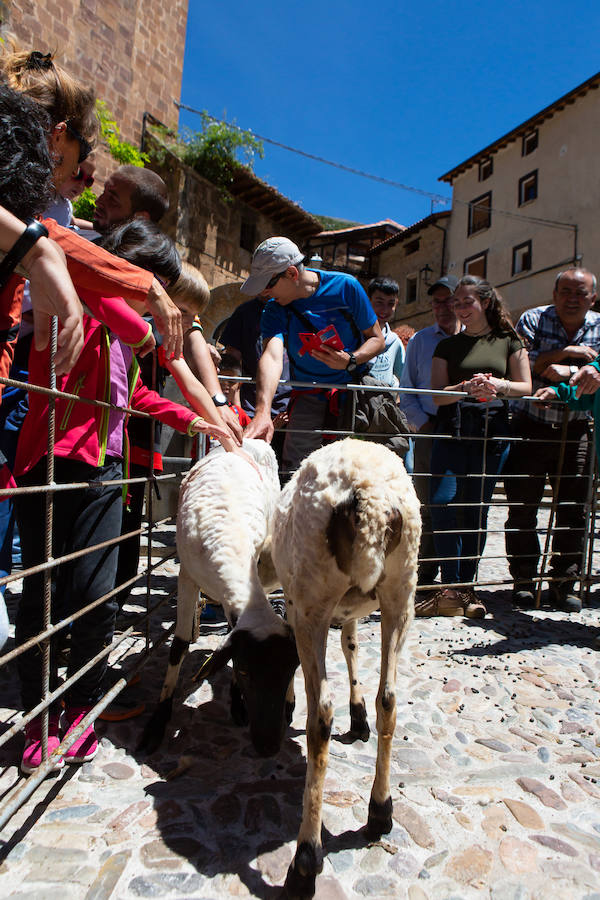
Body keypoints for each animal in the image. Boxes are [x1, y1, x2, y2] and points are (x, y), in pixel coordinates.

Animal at [270, 438, 420, 900]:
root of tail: (369, 497)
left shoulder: (298, 606)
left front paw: (287, 703)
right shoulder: (353, 609)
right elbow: (351, 644)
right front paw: (359, 716)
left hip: (313, 595)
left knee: (320, 716)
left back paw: (305, 860)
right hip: (401, 593)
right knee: (389, 699)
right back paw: (380, 812)